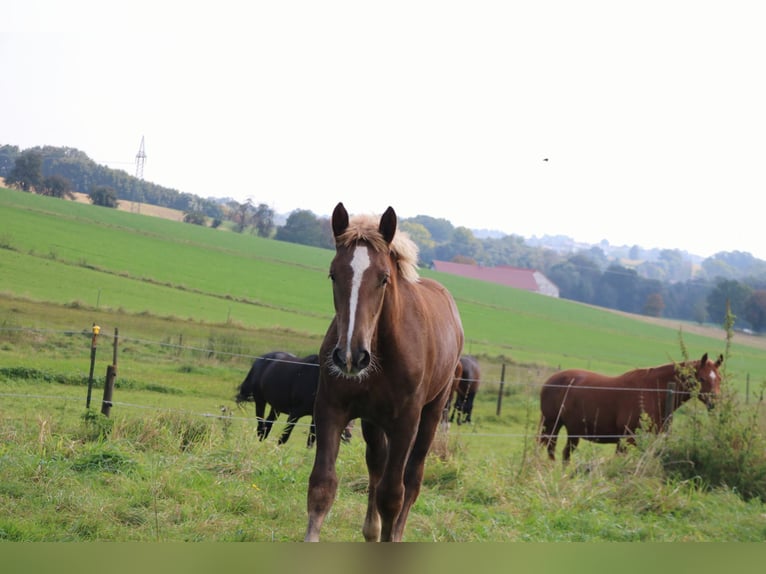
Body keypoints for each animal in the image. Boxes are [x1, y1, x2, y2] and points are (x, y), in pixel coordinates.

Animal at [304, 204, 462, 544]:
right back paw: (371, 531)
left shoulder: (406, 421)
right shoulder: (330, 408)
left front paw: (391, 535)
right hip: (373, 420)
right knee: (376, 465)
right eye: (333, 274)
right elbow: (322, 485)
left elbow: (393, 495)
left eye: (384, 278)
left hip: (432, 413)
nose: (350, 356)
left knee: (412, 478)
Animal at [540, 354, 728, 466]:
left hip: (572, 431)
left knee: (564, 453)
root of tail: (552, 379)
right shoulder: (626, 439)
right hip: (551, 424)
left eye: (719, 378)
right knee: (548, 448)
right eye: (702, 378)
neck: (652, 391)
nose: (714, 403)